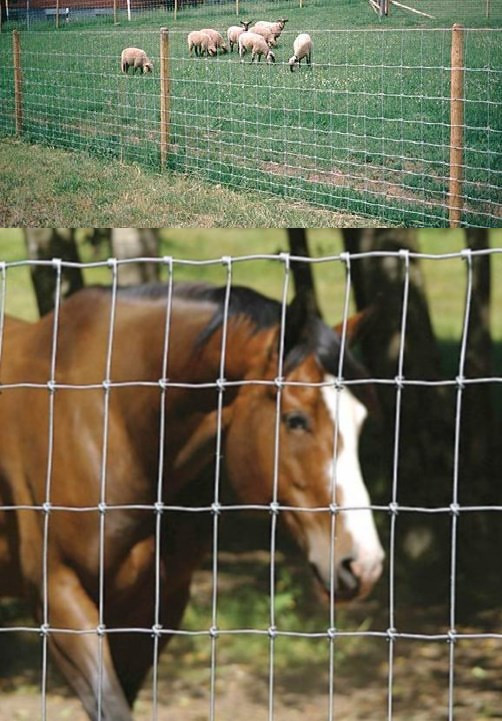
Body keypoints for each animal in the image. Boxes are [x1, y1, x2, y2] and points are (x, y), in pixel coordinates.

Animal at [0, 282, 384, 720]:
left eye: (360, 421)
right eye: (296, 419)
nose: (364, 564)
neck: (110, 422)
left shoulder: (154, 606)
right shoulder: (59, 597)